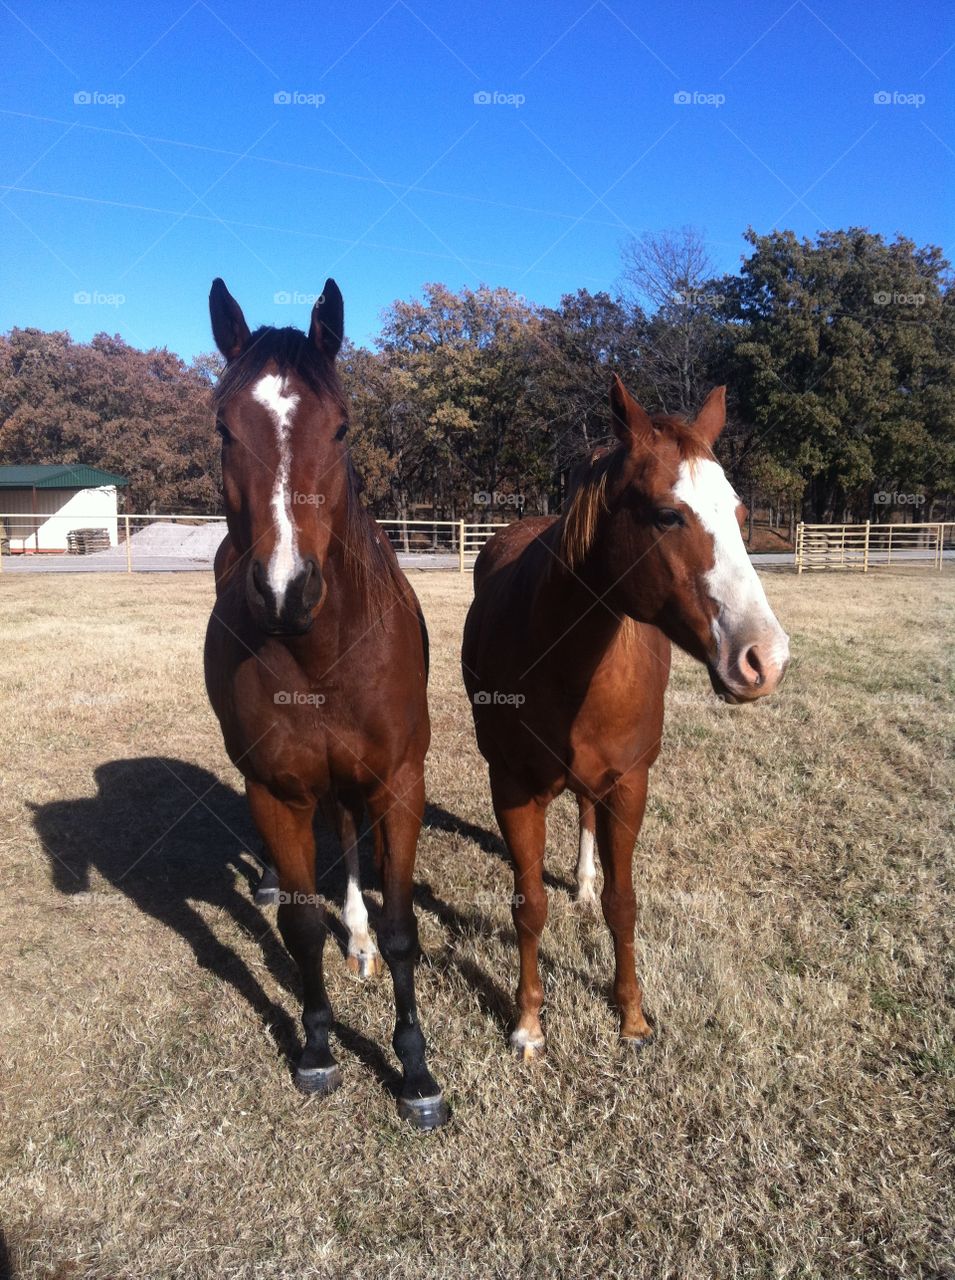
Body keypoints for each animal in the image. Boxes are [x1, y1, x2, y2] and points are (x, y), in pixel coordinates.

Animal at [203, 278, 447, 1129]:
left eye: (340, 425)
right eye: (223, 426)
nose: (284, 589)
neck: (318, 649)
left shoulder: (399, 782)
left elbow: (405, 929)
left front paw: (415, 1070)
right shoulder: (277, 790)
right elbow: (300, 927)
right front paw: (314, 1047)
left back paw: (360, 937)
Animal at [461, 375, 790, 1060]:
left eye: (741, 515)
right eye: (668, 515)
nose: (765, 660)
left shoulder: (629, 783)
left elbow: (623, 903)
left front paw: (632, 1016)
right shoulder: (512, 787)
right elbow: (528, 905)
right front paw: (528, 1023)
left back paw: (584, 883)